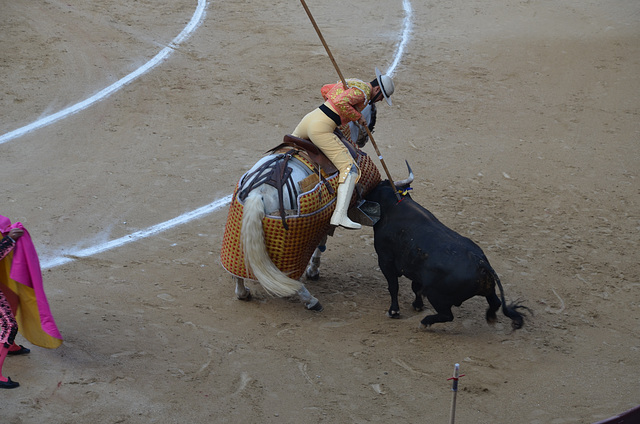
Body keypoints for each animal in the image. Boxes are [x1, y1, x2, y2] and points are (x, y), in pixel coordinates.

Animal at [364, 176, 528, 328]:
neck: (391, 205)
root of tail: (480, 262)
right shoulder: (416, 268)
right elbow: (415, 288)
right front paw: (417, 305)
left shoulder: (385, 260)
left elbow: (393, 286)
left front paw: (394, 311)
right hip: (488, 289)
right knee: (496, 302)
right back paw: (490, 317)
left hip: (436, 296)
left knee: (447, 315)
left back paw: (425, 322)